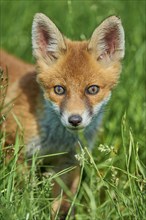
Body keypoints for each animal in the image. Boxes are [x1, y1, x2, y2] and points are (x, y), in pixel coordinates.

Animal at [0, 13, 125, 218]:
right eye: (59, 89)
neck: (57, 140)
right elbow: (23, 195)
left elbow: (60, 205)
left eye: (92, 89)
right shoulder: (13, 149)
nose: (74, 120)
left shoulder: (69, 161)